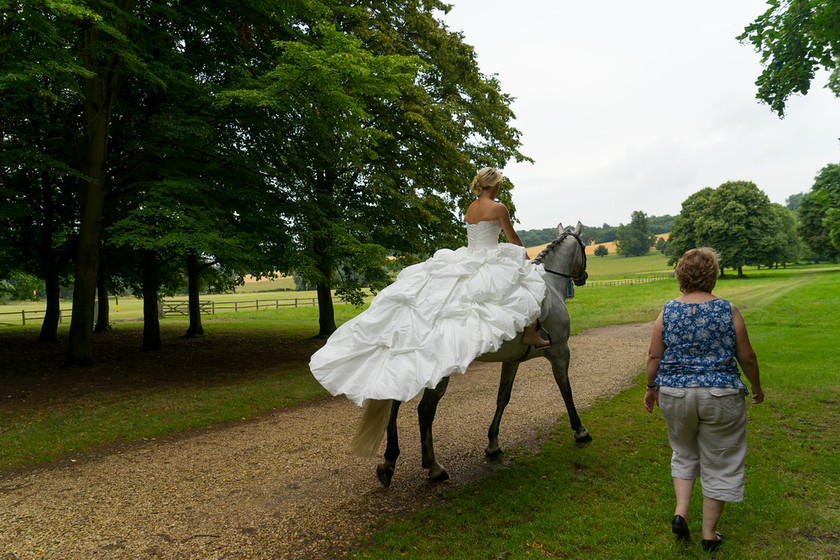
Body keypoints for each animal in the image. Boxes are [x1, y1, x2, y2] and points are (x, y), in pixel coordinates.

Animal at [354, 222, 592, 486]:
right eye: (584, 247)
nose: (583, 278)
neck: (549, 282)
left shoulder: (512, 361)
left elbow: (503, 397)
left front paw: (493, 444)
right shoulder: (560, 351)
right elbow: (566, 390)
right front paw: (580, 430)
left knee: (394, 404)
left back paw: (389, 462)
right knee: (425, 411)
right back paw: (434, 467)